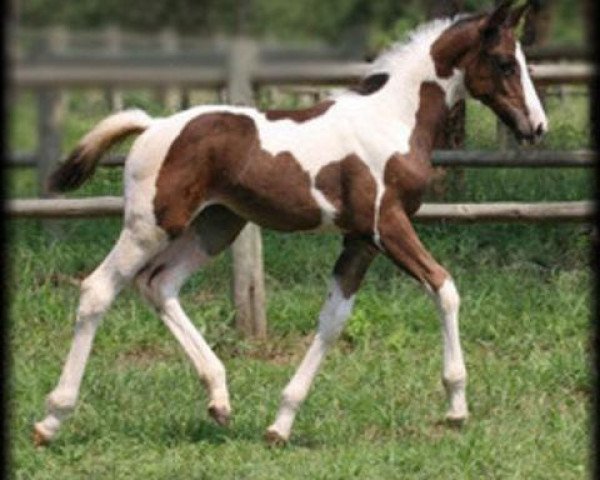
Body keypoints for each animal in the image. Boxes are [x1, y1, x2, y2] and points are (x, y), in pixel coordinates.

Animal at [34, 0, 548, 446]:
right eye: (504, 62)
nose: (537, 128)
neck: (393, 120)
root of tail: (153, 126)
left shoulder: (359, 240)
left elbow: (333, 320)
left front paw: (281, 423)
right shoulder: (387, 225)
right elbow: (444, 287)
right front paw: (457, 406)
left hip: (214, 228)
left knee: (158, 284)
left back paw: (219, 400)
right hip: (149, 227)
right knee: (98, 289)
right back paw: (51, 418)